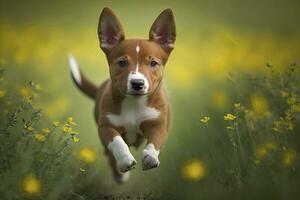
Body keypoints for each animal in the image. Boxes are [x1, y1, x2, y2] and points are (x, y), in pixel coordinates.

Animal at [69, 7, 175, 183]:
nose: (137, 83)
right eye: (122, 63)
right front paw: (125, 160)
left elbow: (156, 140)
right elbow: (117, 142)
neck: (134, 104)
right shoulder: (106, 126)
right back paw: (120, 174)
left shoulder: (158, 123)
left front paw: (151, 156)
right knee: (110, 154)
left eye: (153, 63)